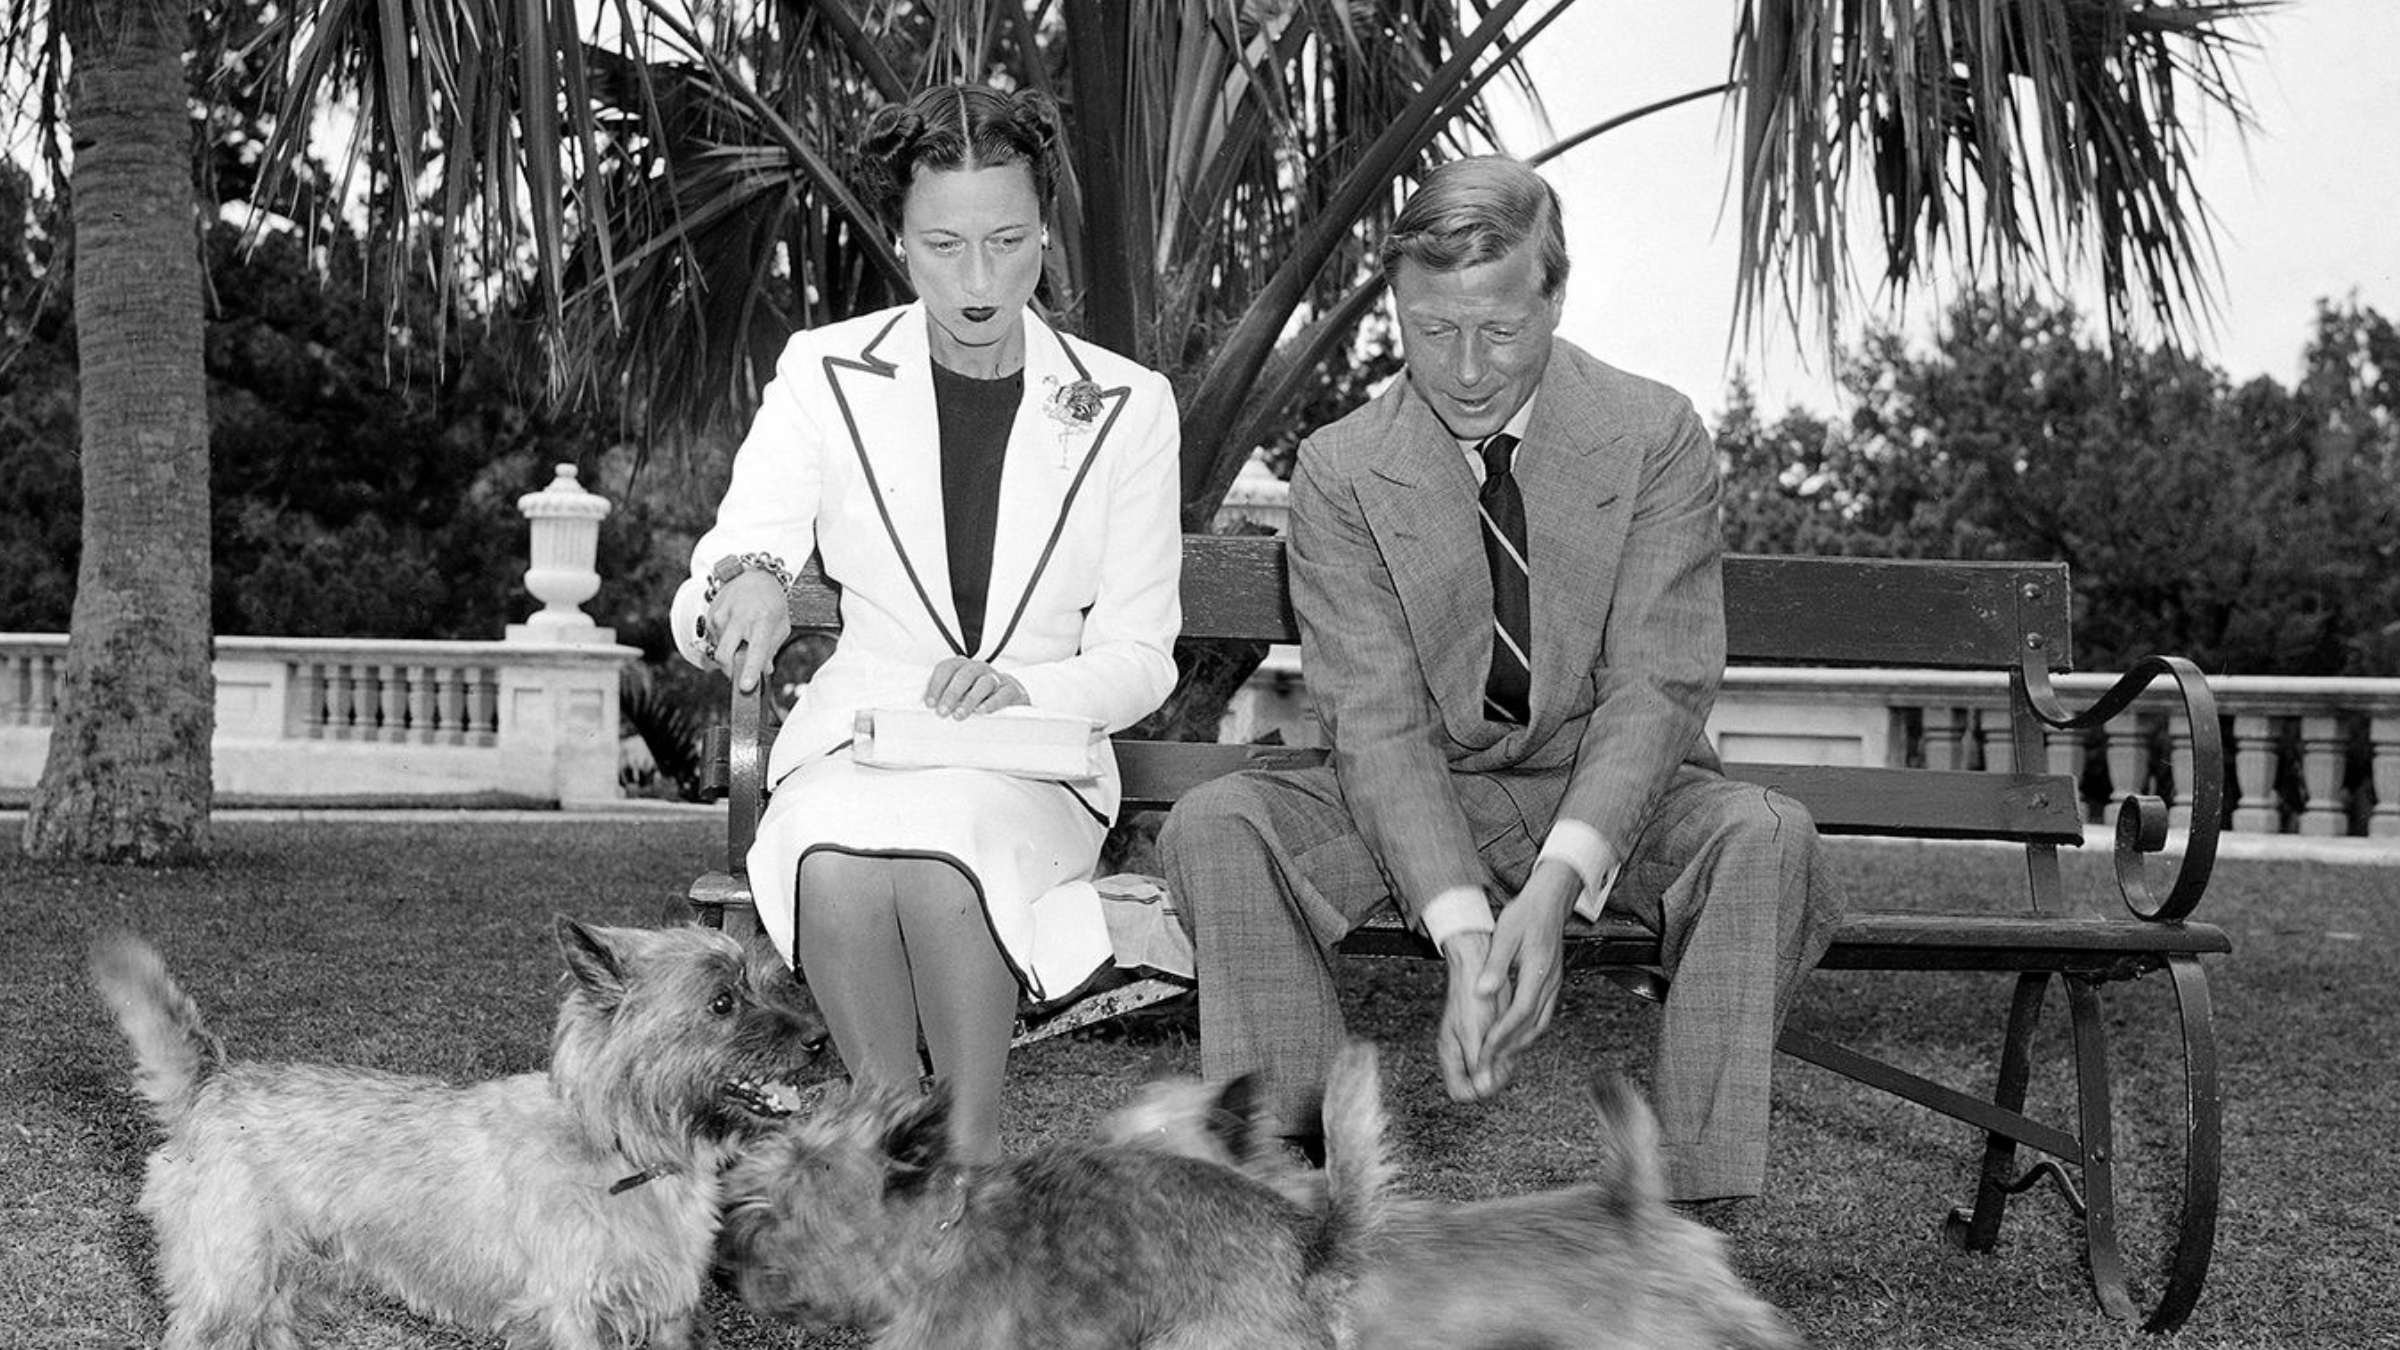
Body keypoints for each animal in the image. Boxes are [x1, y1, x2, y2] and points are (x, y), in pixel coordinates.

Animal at [88, 912, 825, 1345]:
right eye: (722, 1003)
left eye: (770, 983)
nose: (820, 1040)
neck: (623, 1150)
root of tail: (213, 1083)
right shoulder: (570, 1313)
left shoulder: (665, 1313)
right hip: (228, 1288)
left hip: (277, 1289)